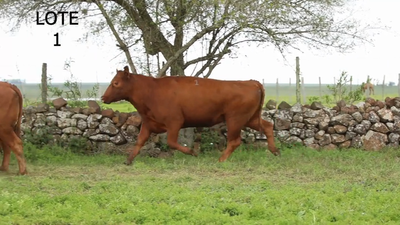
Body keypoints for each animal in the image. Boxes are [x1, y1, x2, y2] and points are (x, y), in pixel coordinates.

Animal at [101, 66, 280, 164]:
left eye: (115, 83)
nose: (103, 97)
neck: (151, 91)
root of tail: (251, 82)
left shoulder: (175, 122)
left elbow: (172, 142)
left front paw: (192, 152)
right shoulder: (148, 123)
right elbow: (139, 142)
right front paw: (129, 160)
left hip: (235, 119)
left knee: (234, 141)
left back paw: (221, 160)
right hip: (250, 118)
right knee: (268, 126)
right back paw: (275, 150)